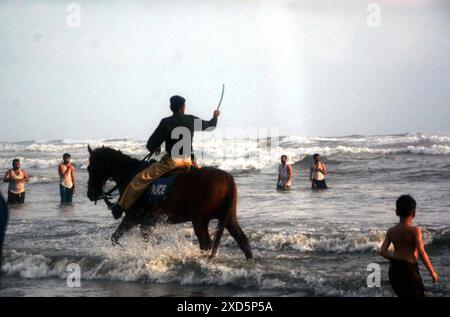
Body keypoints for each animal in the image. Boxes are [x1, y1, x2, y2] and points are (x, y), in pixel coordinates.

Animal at [85, 147, 253, 258]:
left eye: (92, 168)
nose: (90, 194)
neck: (130, 174)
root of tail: (227, 178)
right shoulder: (146, 223)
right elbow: (144, 242)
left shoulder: (133, 218)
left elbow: (115, 238)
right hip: (228, 218)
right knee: (242, 240)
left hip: (200, 221)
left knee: (206, 244)